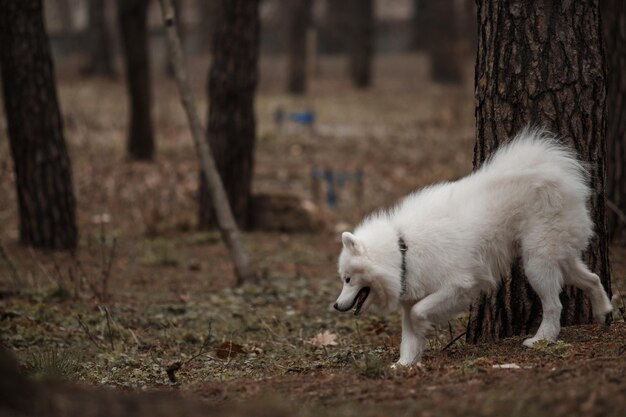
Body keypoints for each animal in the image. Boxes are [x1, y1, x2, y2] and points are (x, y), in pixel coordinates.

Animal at [334, 128, 612, 366]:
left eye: (348, 279)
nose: (336, 306)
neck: (403, 250)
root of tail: (555, 171)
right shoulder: (412, 298)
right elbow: (409, 338)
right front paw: (404, 365)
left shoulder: (458, 286)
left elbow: (419, 315)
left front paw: (423, 331)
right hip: (558, 258)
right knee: (593, 278)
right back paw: (603, 311)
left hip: (537, 263)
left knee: (555, 305)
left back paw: (542, 339)